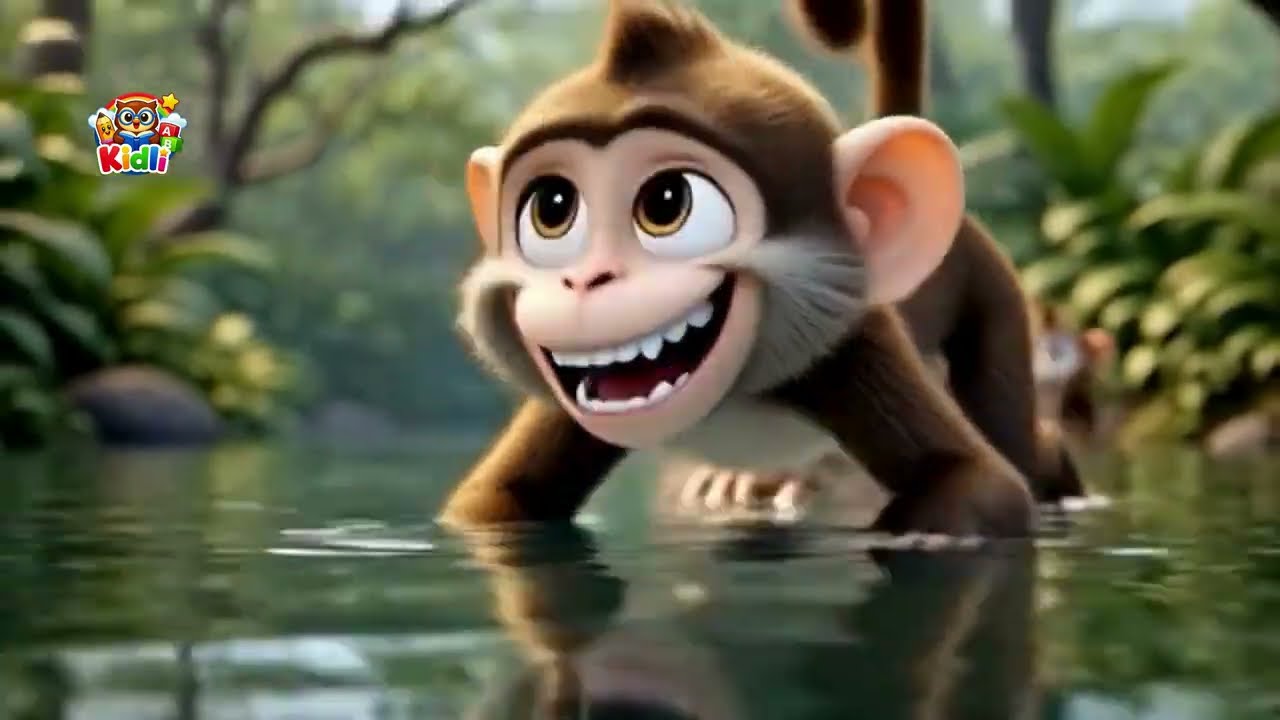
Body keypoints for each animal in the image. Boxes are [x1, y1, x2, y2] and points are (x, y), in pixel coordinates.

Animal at [439, 0, 1035, 539]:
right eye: (553, 209)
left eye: (667, 202)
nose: (585, 279)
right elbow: (499, 497)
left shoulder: (851, 351)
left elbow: (980, 483)